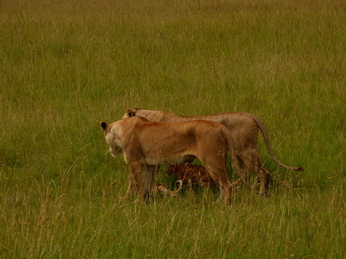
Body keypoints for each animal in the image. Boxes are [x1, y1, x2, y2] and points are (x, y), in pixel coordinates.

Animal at [100, 117, 241, 204]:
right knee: (223, 185)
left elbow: (137, 184)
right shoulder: (148, 165)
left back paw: (223, 206)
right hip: (220, 159)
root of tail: (221, 127)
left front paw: (137, 203)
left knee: (227, 186)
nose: (111, 151)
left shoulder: (136, 163)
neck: (120, 130)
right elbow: (146, 185)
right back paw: (217, 203)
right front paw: (145, 201)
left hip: (212, 161)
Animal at [123, 108, 304, 193]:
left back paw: (261, 194)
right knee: (246, 174)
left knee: (262, 173)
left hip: (245, 150)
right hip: (240, 154)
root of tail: (249, 114)